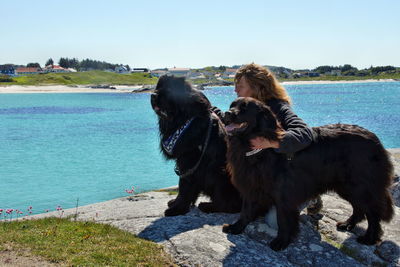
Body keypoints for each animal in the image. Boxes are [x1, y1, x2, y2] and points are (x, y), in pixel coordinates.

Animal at [152, 76, 242, 218]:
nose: (153, 95)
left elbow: (184, 187)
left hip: (218, 173)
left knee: (231, 205)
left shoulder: (190, 161)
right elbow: (184, 186)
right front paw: (175, 203)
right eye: (157, 87)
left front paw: (177, 209)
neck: (182, 119)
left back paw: (208, 206)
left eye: (169, 90)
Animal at [222, 98, 394, 251]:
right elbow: (246, 210)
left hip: (361, 185)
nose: (226, 113)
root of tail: (374, 138)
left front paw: (281, 242)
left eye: (244, 108)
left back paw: (369, 238)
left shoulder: (284, 194)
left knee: (373, 212)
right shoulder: (251, 186)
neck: (255, 150)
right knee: (359, 207)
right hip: (347, 186)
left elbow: (283, 220)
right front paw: (236, 227)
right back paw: (347, 224)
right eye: (232, 105)